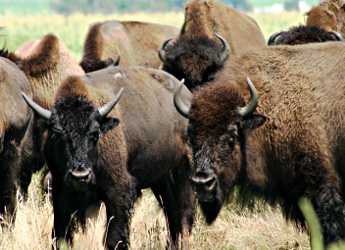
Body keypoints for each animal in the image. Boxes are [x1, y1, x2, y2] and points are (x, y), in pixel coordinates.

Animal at [22, 66, 194, 250]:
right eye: (58, 134)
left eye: (95, 133)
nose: (80, 175)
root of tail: (186, 95)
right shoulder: (61, 192)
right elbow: (61, 234)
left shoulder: (118, 191)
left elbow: (113, 237)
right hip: (161, 180)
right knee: (171, 213)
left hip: (183, 173)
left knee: (184, 214)